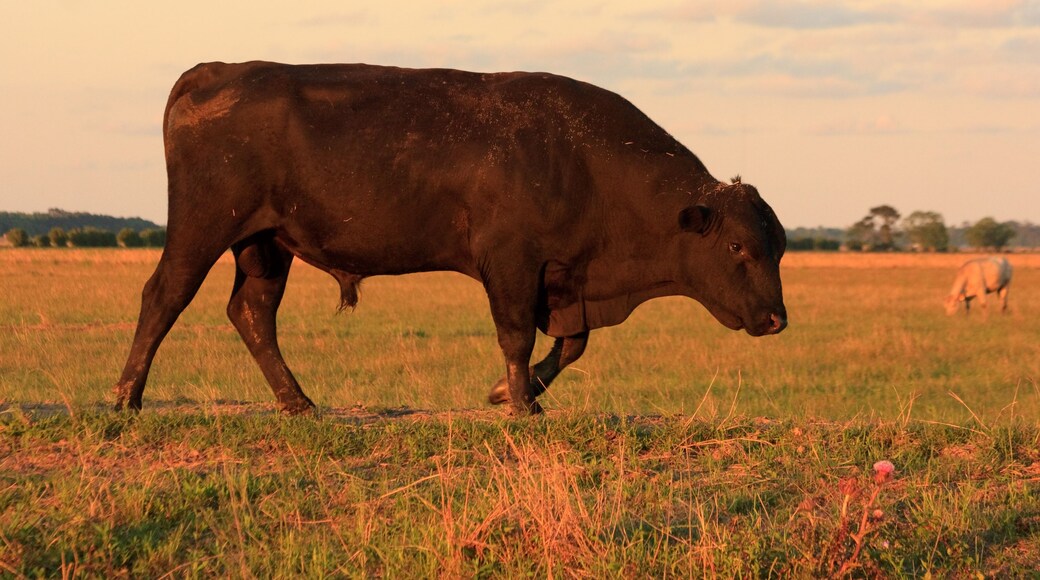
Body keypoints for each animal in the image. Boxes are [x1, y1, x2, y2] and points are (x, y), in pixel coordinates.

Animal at [113, 61, 788, 416]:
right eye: (736, 247)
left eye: (778, 245)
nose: (777, 319)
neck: (582, 160)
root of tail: (217, 71)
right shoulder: (511, 266)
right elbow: (517, 338)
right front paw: (519, 404)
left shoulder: (565, 281)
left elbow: (571, 345)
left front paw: (513, 393)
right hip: (202, 230)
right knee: (163, 296)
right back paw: (126, 398)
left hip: (266, 245)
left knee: (252, 313)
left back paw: (299, 403)